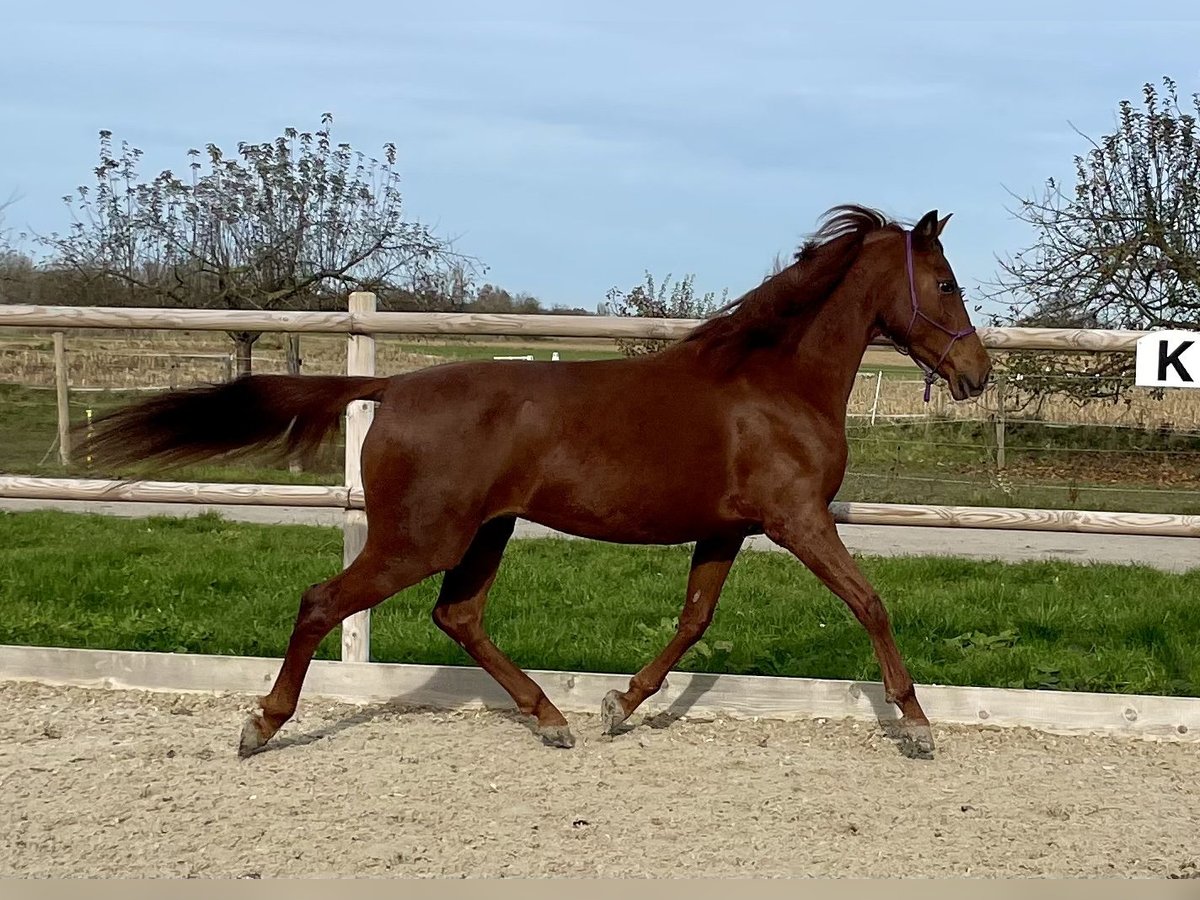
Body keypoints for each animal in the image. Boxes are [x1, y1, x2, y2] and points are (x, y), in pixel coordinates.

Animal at [80, 205, 992, 761]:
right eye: (947, 283)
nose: (977, 374)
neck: (773, 383)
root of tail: (391, 385)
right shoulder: (797, 518)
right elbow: (869, 601)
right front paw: (917, 726)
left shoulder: (727, 527)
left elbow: (694, 620)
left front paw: (620, 705)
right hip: (423, 536)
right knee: (323, 602)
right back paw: (262, 726)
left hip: (487, 531)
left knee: (457, 615)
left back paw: (552, 718)